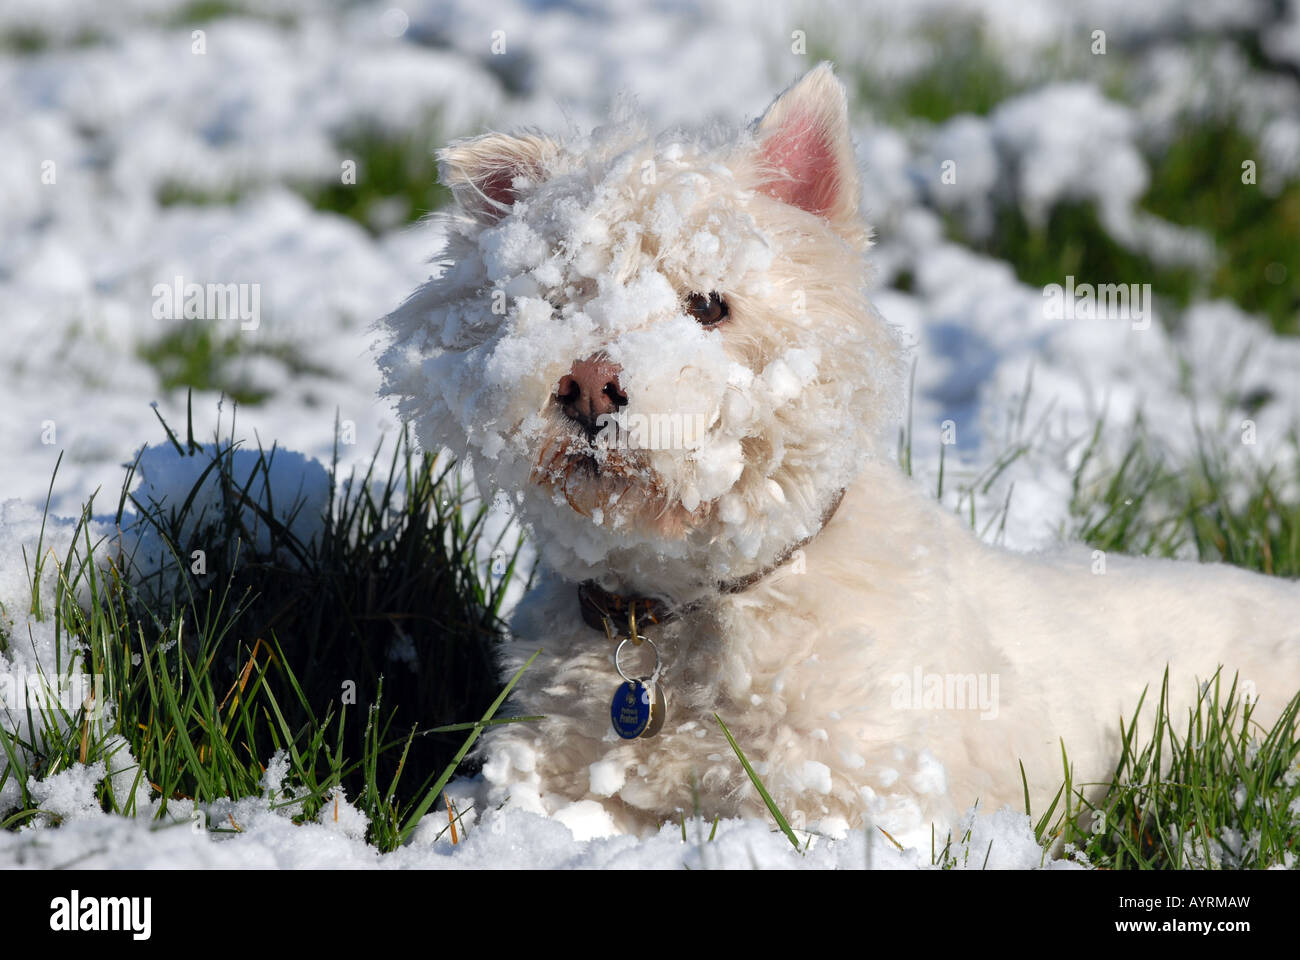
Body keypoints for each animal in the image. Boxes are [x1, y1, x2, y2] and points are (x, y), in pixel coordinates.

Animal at [379, 63, 1300, 842]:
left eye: (709, 305)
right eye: (560, 295)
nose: (590, 386)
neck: (686, 605)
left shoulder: (848, 802)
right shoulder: (554, 773)